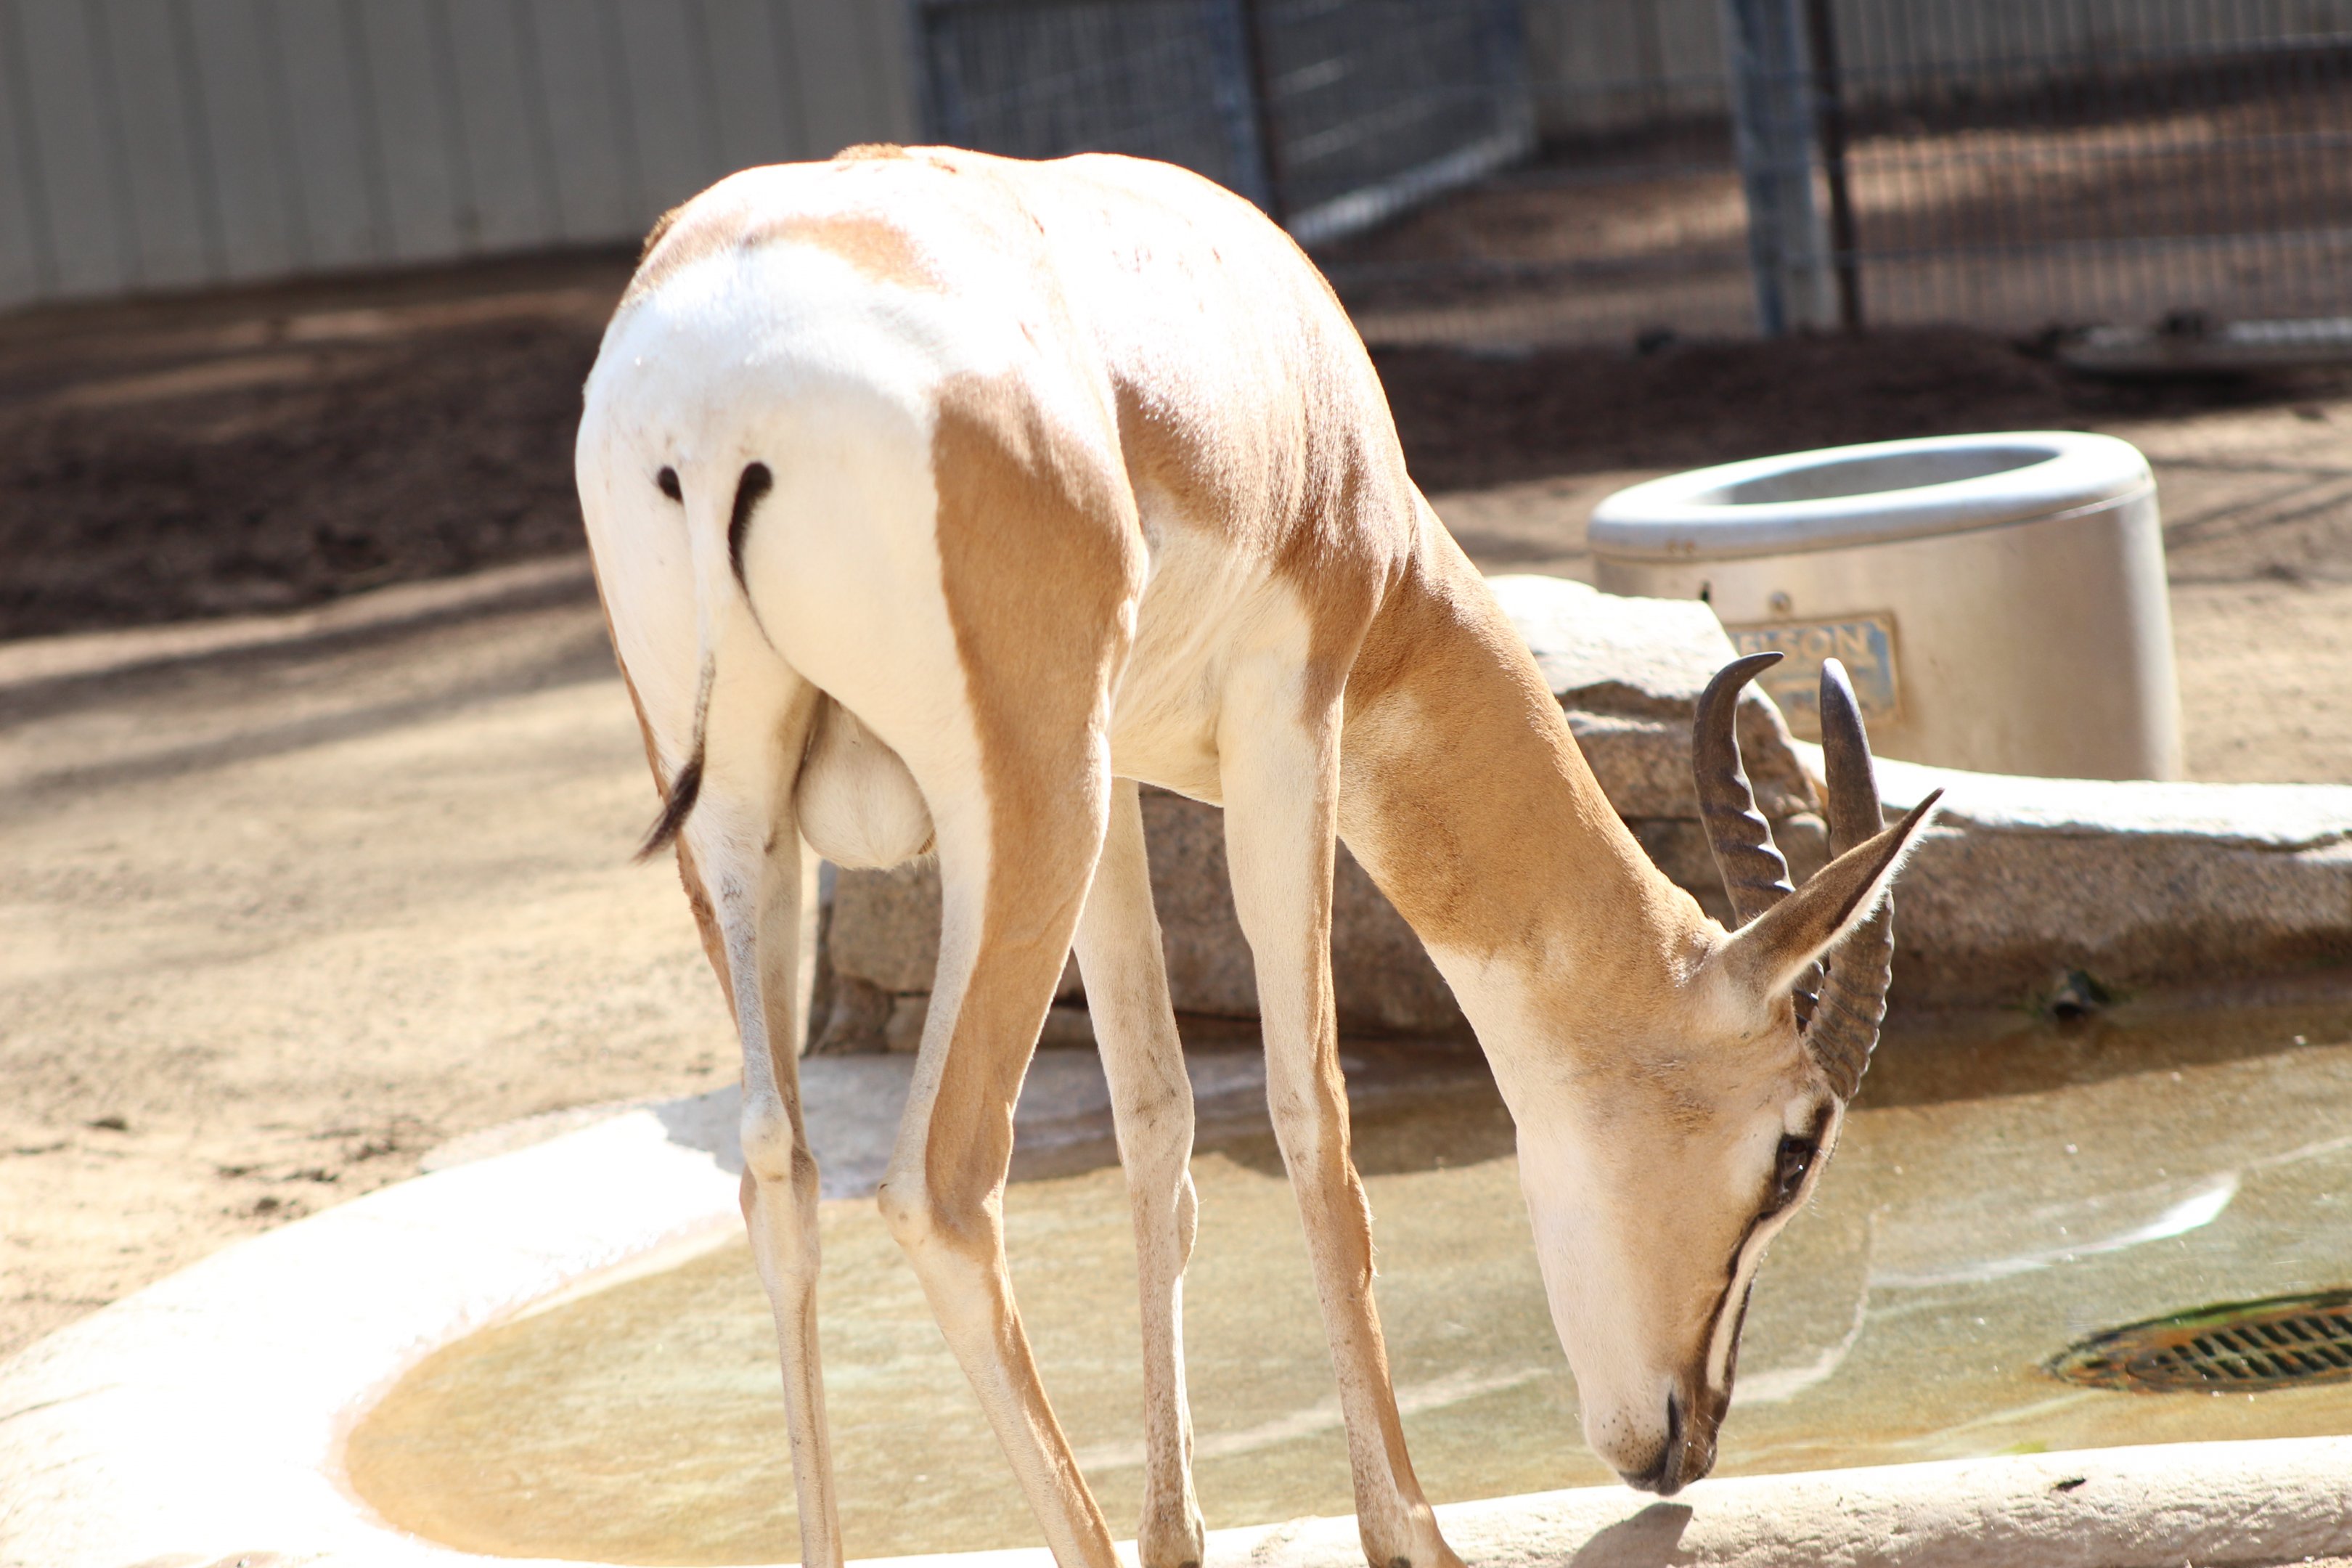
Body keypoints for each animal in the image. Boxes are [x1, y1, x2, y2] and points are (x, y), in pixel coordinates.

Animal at [575, 145, 1936, 1568]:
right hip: (1023, 808)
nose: (1686, 1444)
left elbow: (1158, 1120)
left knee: (779, 1174)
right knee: (939, 1186)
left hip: (760, 821)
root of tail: (719, 381)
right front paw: (1412, 1534)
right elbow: (1311, 1111)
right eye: (1796, 1148)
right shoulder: (1292, 724)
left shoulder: (1121, 777)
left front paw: (1181, 1532)